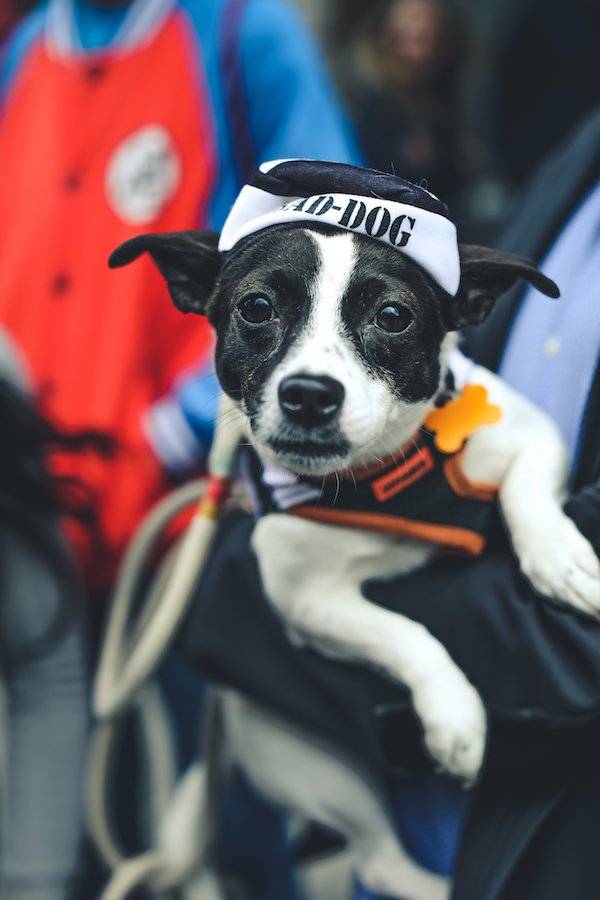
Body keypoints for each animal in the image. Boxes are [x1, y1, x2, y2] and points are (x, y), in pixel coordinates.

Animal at [110, 162, 600, 900]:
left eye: (392, 316)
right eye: (256, 307)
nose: (309, 394)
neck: (379, 480)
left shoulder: (530, 436)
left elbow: (527, 494)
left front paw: (561, 558)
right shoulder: (306, 603)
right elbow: (403, 635)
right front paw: (455, 715)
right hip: (319, 765)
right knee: (377, 858)